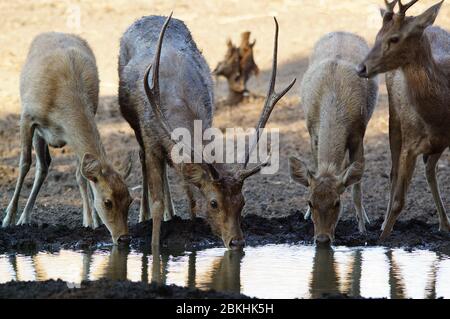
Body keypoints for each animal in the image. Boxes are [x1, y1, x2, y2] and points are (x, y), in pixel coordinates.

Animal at [1, 32, 132, 245]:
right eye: (108, 202)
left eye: (130, 199)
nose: (124, 238)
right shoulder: (27, 116)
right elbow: (24, 163)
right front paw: (7, 219)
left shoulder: (73, 134)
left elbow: (81, 175)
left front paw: (91, 221)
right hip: (37, 131)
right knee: (40, 164)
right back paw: (22, 218)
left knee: (45, 165)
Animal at [119, 14, 296, 250]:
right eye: (214, 203)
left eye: (242, 201)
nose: (237, 241)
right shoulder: (151, 140)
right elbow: (157, 202)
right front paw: (155, 244)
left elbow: (191, 197)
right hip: (134, 124)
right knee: (141, 157)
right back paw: (143, 216)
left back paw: (171, 214)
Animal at [288, 31, 380, 245]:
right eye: (310, 202)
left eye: (337, 203)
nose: (322, 239)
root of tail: (342, 32)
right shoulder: (312, 132)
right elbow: (314, 168)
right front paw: (306, 216)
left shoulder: (358, 134)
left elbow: (356, 186)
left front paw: (362, 228)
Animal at [358, 0, 450, 240]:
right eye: (377, 35)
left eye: (394, 38)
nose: (361, 67)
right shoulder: (410, 142)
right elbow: (400, 200)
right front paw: (382, 239)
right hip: (394, 118)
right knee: (393, 172)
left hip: (435, 145)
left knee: (429, 169)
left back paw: (444, 224)